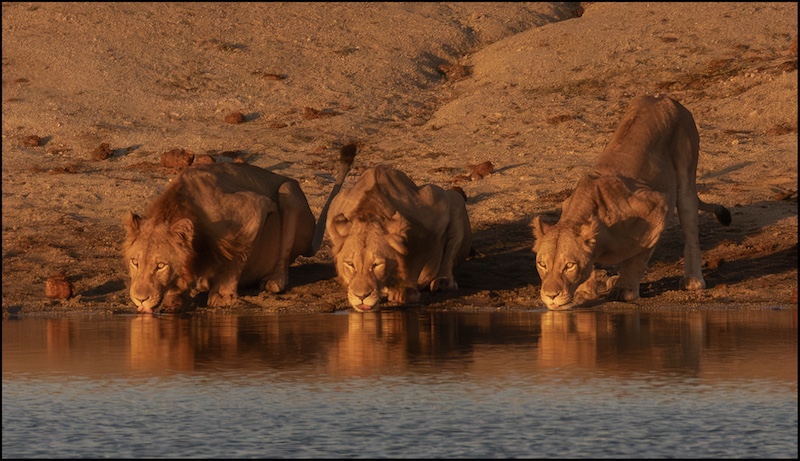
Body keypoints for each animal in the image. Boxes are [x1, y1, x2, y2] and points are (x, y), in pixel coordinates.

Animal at [122, 145, 356, 313]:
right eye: (135, 263)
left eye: (161, 265)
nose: (140, 298)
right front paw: (175, 298)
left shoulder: (255, 207)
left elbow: (236, 255)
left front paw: (222, 295)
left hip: (288, 192)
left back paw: (273, 282)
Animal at [326, 164, 472, 312]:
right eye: (350, 264)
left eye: (377, 264)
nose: (361, 296)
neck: (370, 210)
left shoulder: (437, 202)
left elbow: (418, 255)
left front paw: (403, 290)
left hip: (456, 200)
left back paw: (443, 281)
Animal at [532, 95, 731, 310]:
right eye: (542, 264)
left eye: (569, 265)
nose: (551, 295)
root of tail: (663, 98)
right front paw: (585, 291)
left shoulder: (657, 207)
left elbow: (637, 257)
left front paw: (624, 290)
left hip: (685, 175)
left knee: (691, 229)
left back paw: (693, 280)